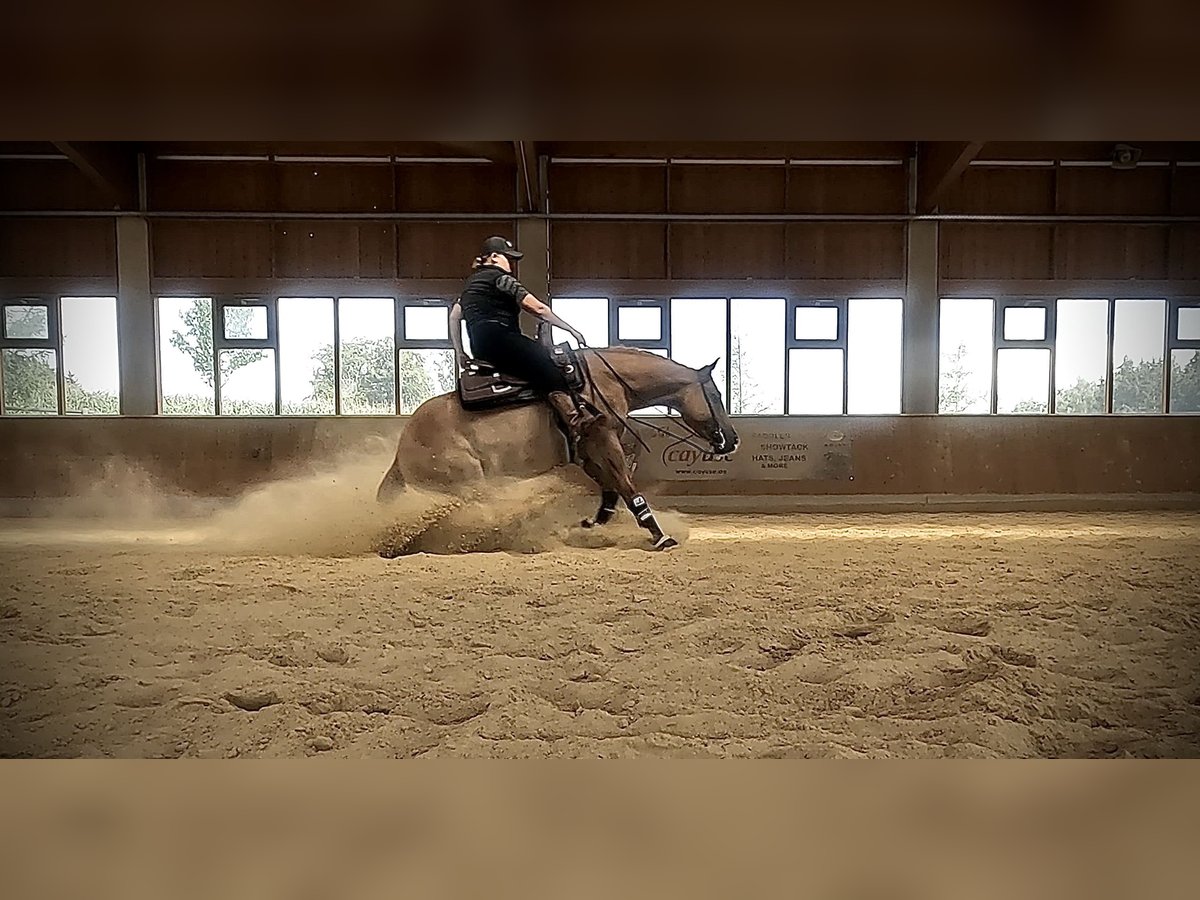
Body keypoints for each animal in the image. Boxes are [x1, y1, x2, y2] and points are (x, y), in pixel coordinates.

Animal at [374, 348, 734, 554]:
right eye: (716, 395)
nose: (731, 439)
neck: (602, 380)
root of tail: (403, 449)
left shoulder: (588, 451)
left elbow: (611, 491)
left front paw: (591, 526)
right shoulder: (603, 440)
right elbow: (627, 489)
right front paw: (659, 536)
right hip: (465, 483)